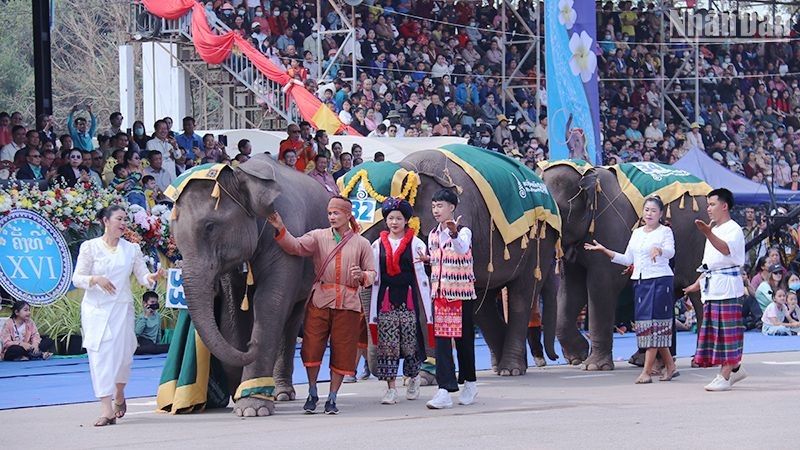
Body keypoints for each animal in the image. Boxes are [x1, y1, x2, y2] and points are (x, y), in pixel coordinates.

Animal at [170, 156, 330, 416]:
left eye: (210, 226)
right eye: (172, 234)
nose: (250, 345)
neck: (240, 175)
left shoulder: (287, 243)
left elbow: (269, 303)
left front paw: (252, 408)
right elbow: (234, 311)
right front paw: (241, 398)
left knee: (292, 318)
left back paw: (282, 393)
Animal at [350, 149, 564, 376]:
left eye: (386, 221)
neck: (409, 167)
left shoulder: (464, 214)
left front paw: (427, 375)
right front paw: (419, 376)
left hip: (539, 241)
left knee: (520, 296)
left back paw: (511, 369)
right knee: (482, 304)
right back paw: (503, 366)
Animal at [540, 161, 708, 370]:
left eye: (557, 211)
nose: (554, 359)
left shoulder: (610, 229)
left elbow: (602, 286)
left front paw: (593, 366)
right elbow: (571, 289)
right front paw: (578, 358)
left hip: (700, 241)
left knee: (698, 294)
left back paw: (699, 361)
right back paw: (644, 361)